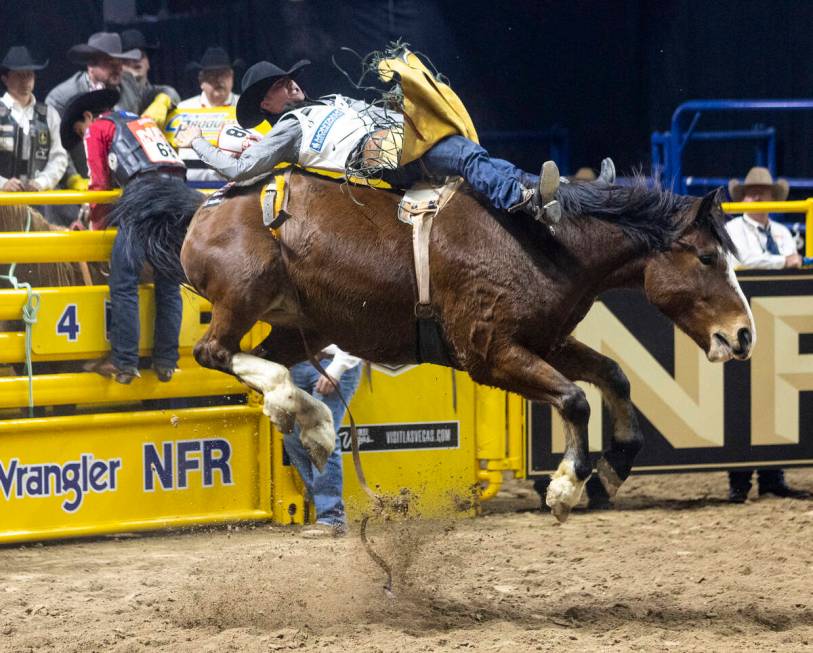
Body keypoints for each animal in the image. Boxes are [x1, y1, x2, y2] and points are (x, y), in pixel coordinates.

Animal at [127, 169, 756, 520]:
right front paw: (564, 487)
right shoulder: (490, 354)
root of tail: (204, 206)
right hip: (241, 299)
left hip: (300, 322)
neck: (541, 243)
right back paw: (309, 416)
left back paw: (310, 423)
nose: (743, 334)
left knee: (258, 361)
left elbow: (613, 375)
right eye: (707, 256)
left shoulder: (545, 340)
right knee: (214, 353)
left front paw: (615, 464)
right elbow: (576, 399)